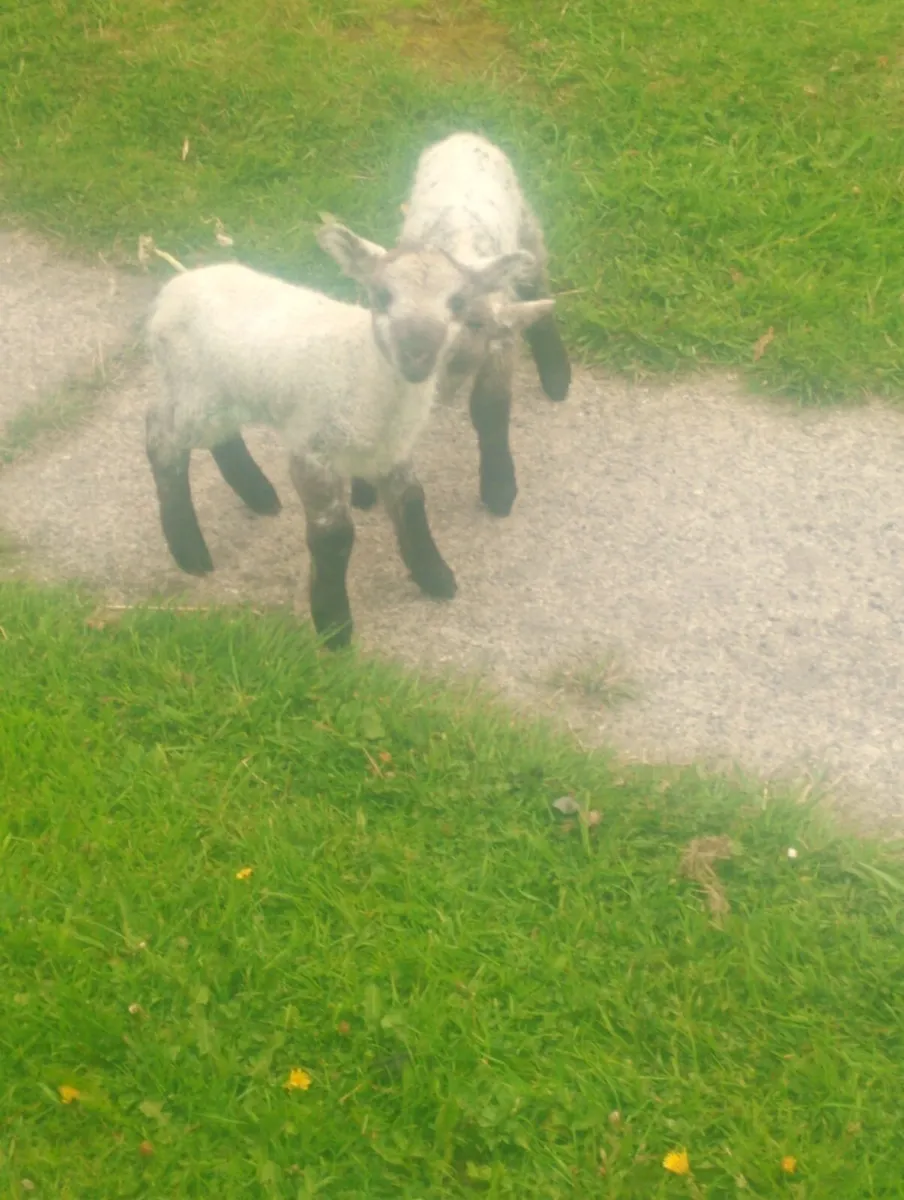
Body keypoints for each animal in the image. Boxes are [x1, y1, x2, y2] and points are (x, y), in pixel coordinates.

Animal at [144, 225, 553, 648]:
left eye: (457, 302)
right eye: (382, 295)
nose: (417, 355)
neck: (366, 369)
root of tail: (173, 288)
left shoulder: (392, 449)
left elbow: (411, 503)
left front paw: (434, 576)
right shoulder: (312, 450)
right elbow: (333, 535)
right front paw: (333, 623)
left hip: (226, 392)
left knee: (221, 437)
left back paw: (257, 493)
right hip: (191, 389)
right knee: (161, 439)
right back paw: (189, 549)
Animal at [342, 132, 572, 520]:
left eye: (463, 313)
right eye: (384, 300)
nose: (417, 352)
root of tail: (464, 135)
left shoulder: (497, 345)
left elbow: (490, 409)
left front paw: (499, 486)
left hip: (527, 232)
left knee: (539, 291)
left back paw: (556, 375)